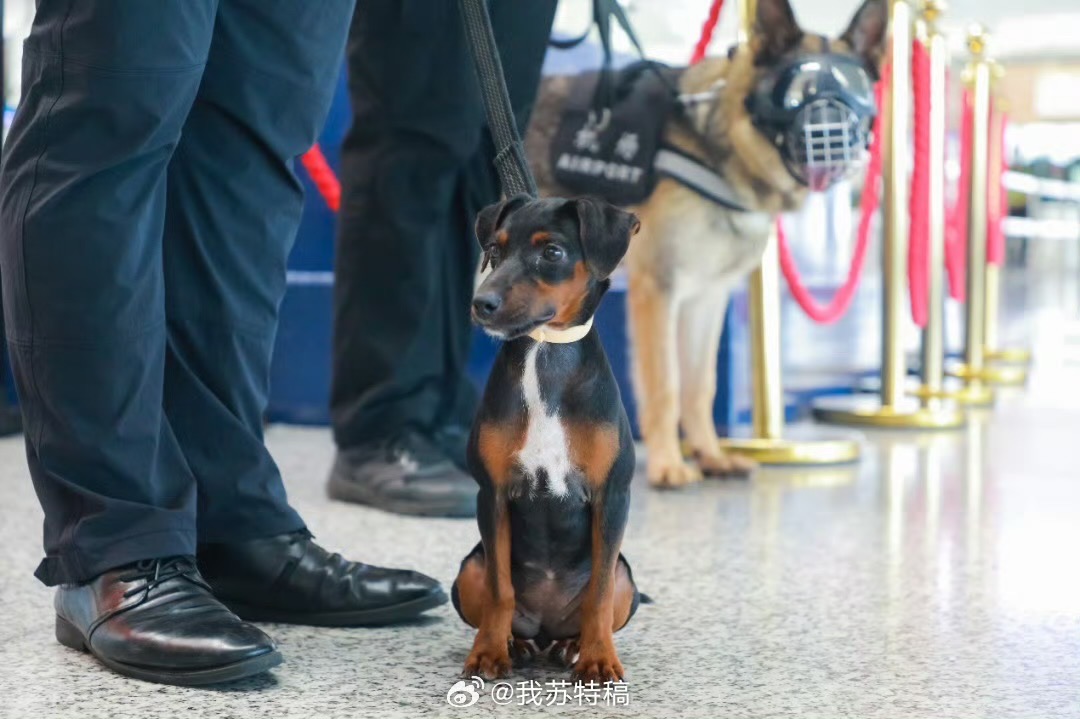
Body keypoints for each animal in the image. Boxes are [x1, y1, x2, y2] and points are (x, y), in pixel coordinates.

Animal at [453, 194, 639, 677]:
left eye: (551, 252)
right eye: (494, 250)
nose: (481, 303)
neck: (545, 353)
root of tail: (545, 628)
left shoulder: (612, 496)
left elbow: (598, 595)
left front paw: (597, 658)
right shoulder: (493, 494)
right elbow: (500, 590)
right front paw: (489, 652)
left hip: (626, 578)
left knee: (598, 598)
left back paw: (572, 646)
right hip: (468, 569)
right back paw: (515, 643)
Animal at [522, 0, 885, 487]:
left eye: (858, 93)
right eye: (797, 92)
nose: (835, 141)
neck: (719, 143)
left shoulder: (706, 300)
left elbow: (699, 386)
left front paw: (710, 454)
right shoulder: (658, 290)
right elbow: (667, 384)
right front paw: (668, 464)